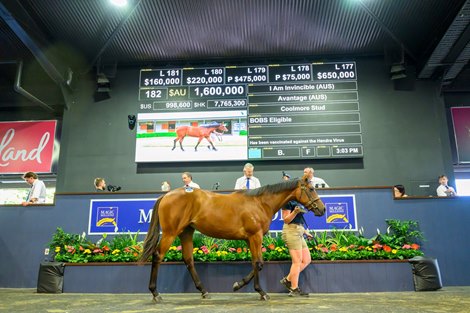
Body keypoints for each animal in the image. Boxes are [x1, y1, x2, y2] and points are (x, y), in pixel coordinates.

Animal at [138, 174, 324, 302]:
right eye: (311, 189)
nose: (322, 209)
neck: (260, 203)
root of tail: (166, 195)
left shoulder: (250, 239)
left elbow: (256, 263)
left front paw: (238, 285)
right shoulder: (255, 236)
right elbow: (259, 263)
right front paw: (261, 292)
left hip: (186, 232)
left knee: (188, 260)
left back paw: (204, 291)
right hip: (171, 233)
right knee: (158, 256)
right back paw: (155, 293)